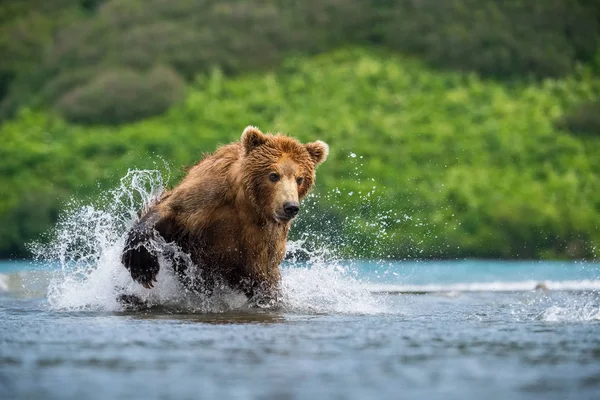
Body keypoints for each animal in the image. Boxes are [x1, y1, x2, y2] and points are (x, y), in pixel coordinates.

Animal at [120, 126, 328, 302]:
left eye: (300, 178)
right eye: (273, 175)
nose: (290, 206)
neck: (248, 204)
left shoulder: (264, 238)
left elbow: (263, 277)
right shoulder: (209, 194)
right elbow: (169, 210)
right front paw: (142, 265)